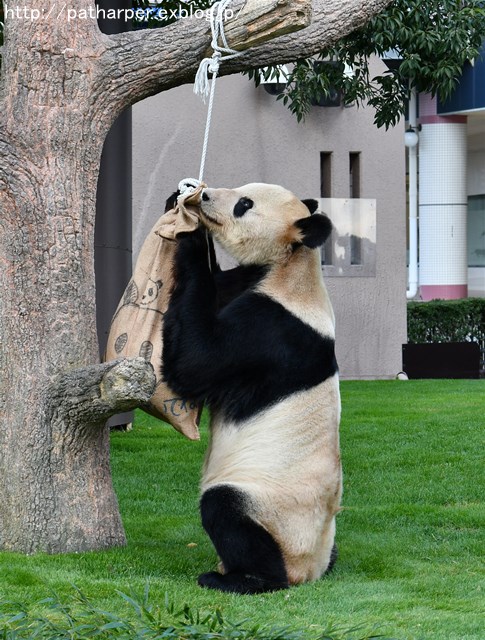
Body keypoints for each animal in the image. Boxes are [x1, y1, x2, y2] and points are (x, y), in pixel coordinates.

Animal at [163, 182, 340, 592]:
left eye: (244, 204)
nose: (205, 195)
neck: (292, 265)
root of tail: (308, 571)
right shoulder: (246, 283)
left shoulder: (271, 329)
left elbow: (196, 361)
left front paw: (192, 236)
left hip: (269, 507)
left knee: (226, 509)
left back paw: (238, 578)